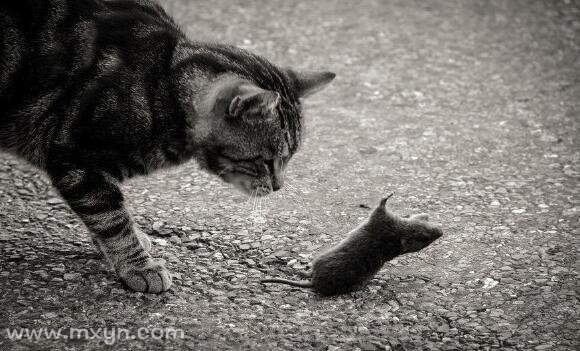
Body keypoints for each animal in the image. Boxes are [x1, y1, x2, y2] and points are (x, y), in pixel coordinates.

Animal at [1, 0, 336, 292]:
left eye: (289, 159)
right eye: (267, 160)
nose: (279, 187)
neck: (162, 86)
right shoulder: (76, 159)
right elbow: (111, 219)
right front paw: (139, 265)